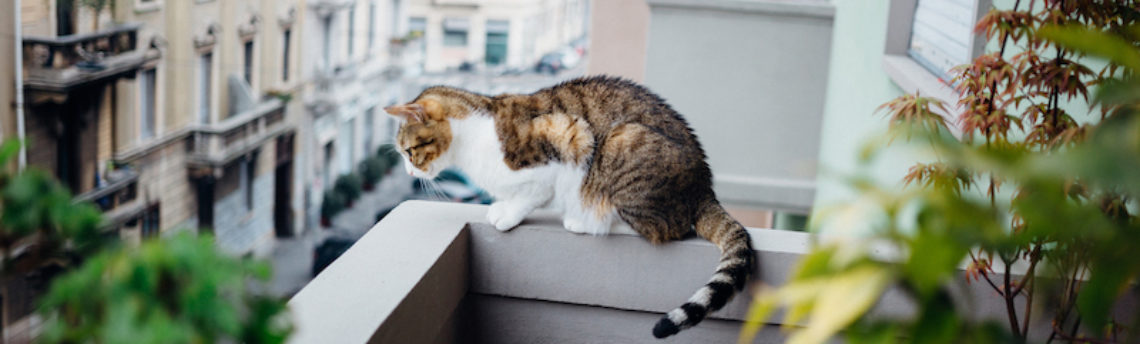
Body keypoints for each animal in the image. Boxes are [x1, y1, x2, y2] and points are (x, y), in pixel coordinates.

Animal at [385, 75, 756, 339]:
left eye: (409, 152)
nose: (409, 173)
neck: (473, 139)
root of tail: (704, 187)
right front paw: (500, 205)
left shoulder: (566, 139)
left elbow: (532, 194)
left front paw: (507, 214)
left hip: (622, 141)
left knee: (663, 228)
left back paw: (588, 221)